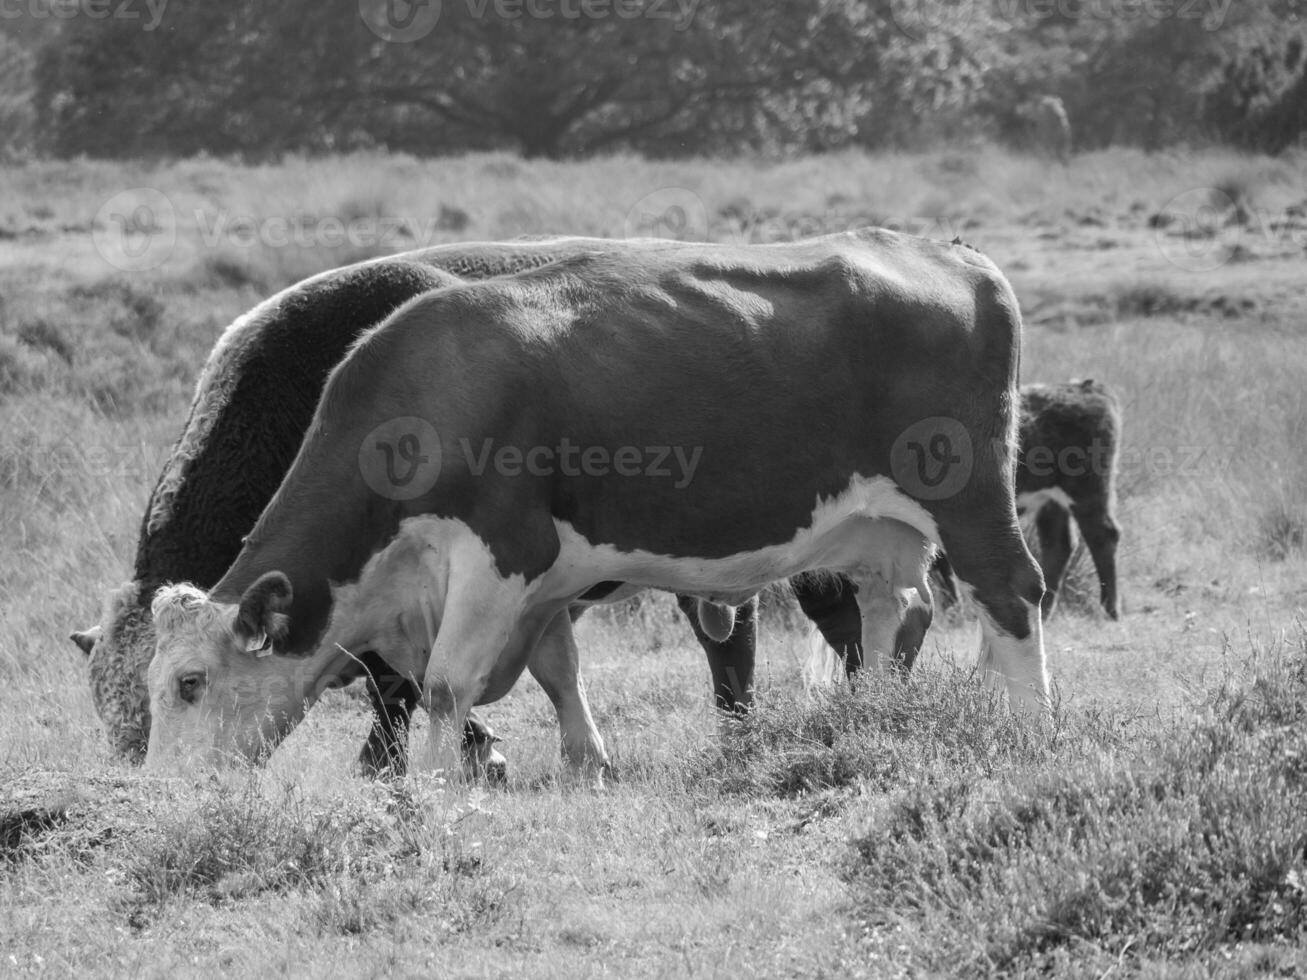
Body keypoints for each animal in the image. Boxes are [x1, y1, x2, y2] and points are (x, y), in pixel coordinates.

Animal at [137, 232, 1045, 783]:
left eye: (190, 683)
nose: (160, 790)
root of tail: (947, 252)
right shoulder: (544, 584)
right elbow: (557, 670)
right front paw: (588, 761)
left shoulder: (503, 553)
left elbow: (443, 686)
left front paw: (430, 784)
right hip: (877, 531)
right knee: (899, 609)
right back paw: (880, 719)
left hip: (966, 497)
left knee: (1011, 592)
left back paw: (1030, 725)